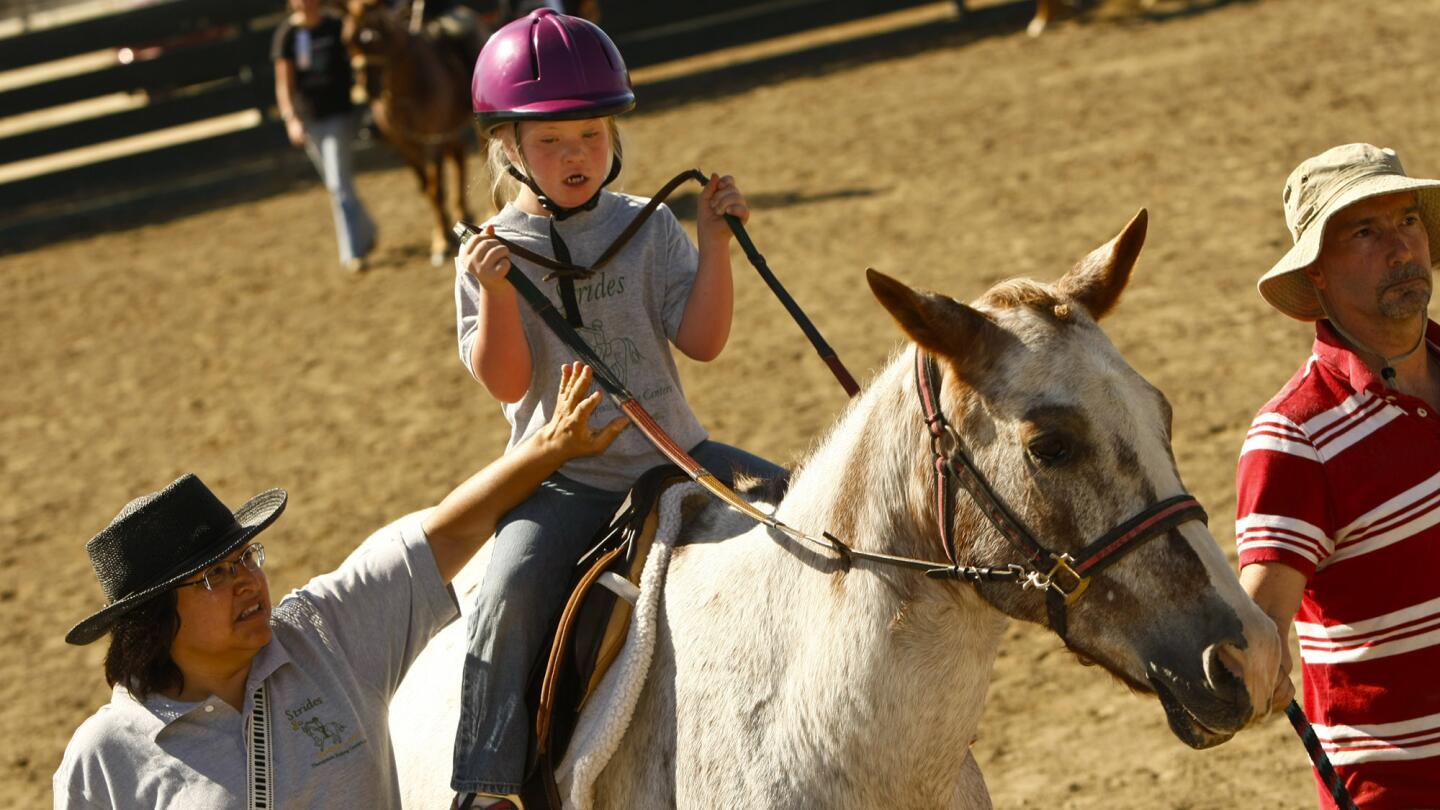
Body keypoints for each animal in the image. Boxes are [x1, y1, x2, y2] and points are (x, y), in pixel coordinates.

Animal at [342, 0, 472, 263]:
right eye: (347, 39)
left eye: (377, 36)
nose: (368, 87)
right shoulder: (404, 145)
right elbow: (425, 188)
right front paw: (442, 232)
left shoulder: (432, 142)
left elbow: (434, 189)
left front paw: (441, 241)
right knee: (459, 156)